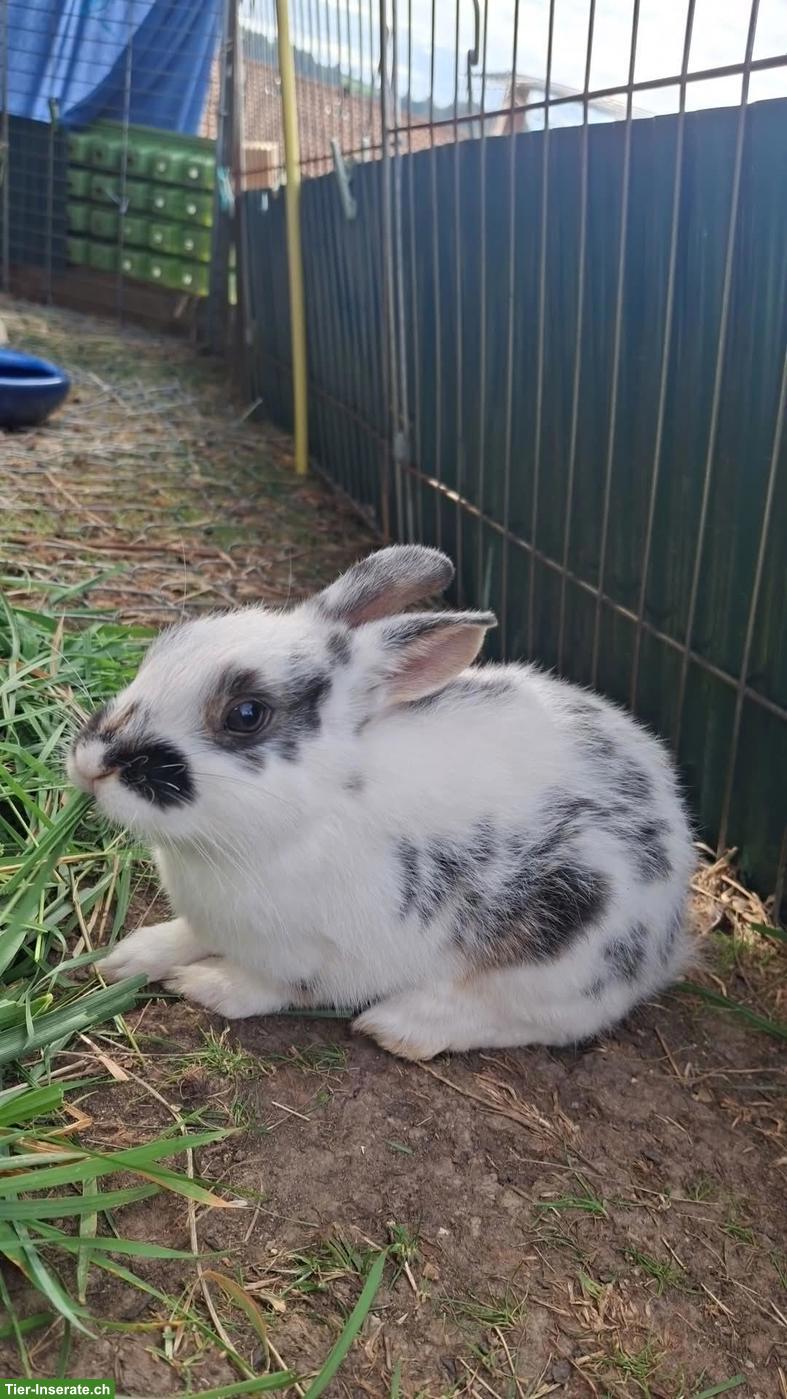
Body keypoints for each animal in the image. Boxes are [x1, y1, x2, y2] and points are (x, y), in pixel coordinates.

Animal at [67, 545, 695, 1060]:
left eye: (246, 714)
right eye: (167, 646)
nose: (91, 764)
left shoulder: (319, 957)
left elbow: (265, 989)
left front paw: (204, 986)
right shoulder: (213, 922)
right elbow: (187, 936)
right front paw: (128, 957)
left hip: (565, 949)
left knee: (537, 1019)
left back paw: (401, 1026)